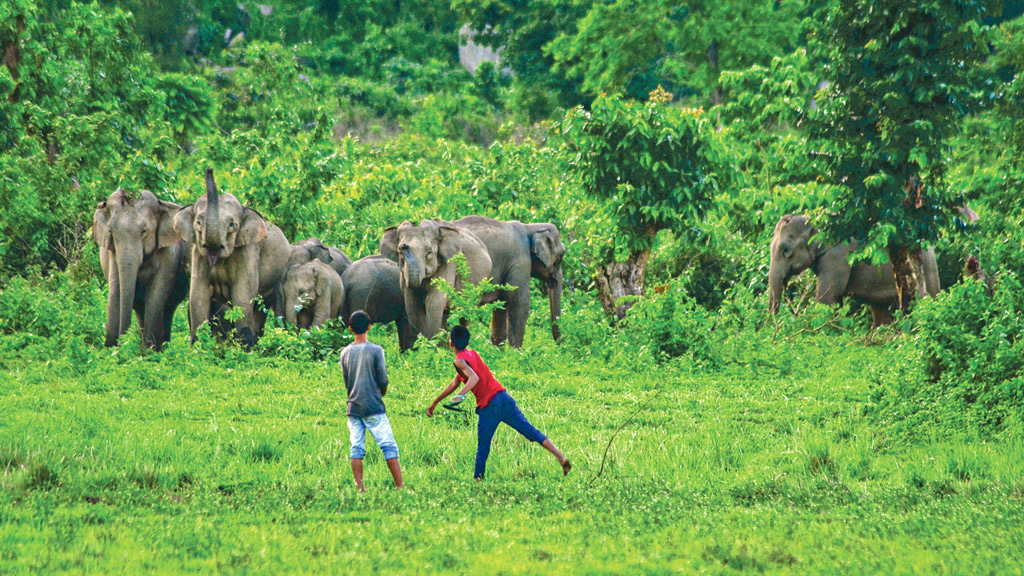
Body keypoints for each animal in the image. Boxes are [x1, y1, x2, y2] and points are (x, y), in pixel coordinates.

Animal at [93, 189, 189, 350]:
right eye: (111, 231)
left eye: (144, 231)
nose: (122, 342)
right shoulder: (111, 253)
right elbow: (115, 290)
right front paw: (111, 350)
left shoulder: (168, 254)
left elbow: (155, 295)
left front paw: (149, 352)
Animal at [173, 166, 292, 344]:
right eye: (198, 223)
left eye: (231, 225)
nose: (209, 169)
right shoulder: (198, 254)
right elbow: (198, 299)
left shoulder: (247, 253)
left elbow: (242, 298)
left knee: (259, 310)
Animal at [452, 214, 569, 342]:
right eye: (562, 254)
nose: (560, 343)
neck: (530, 227)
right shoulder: (520, 261)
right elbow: (519, 302)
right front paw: (516, 348)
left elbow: (501, 303)